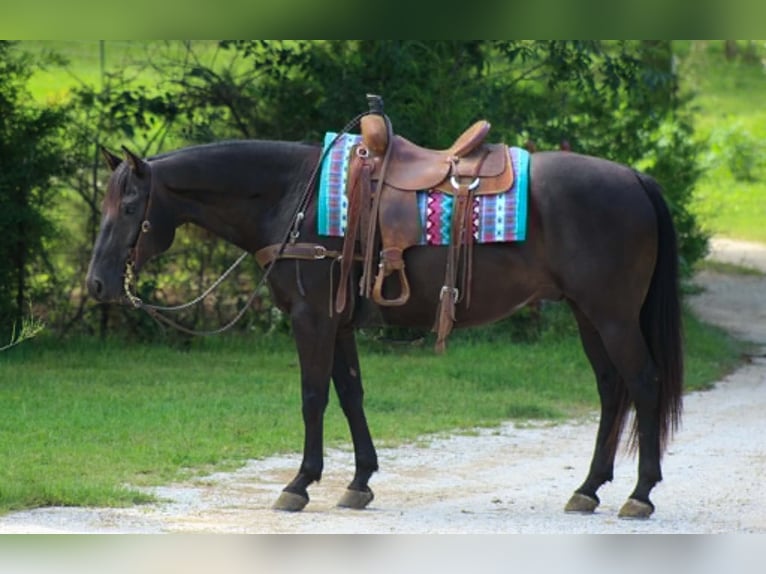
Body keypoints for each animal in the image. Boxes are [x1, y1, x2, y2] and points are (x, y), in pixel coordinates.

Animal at [86, 127, 683, 520]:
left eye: (131, 205)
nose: (96, 284)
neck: (293, 197)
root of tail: (635, 177)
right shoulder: (339, 323)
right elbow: (351, 394)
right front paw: (358, 482)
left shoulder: (312, 320)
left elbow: (313, 397)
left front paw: (299, 484)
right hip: (588, 315)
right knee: (611, 391)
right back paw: (589, 489)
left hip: (612, 316)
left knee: (643, 383)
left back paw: (640, 494)